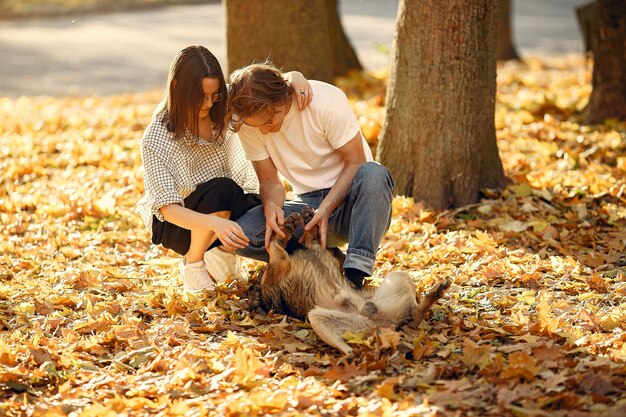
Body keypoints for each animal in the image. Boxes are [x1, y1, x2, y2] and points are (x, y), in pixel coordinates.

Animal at [256, 207, 450, 354]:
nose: (306, 213)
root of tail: (386, 325)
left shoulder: (294, 255)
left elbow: (298, 238)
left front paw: (300, 223)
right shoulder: (279, 263)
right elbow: (274, 244)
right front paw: (288, 228)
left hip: (398, 277)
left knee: (415, 316)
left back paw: (436, 292)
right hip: (320, 318)